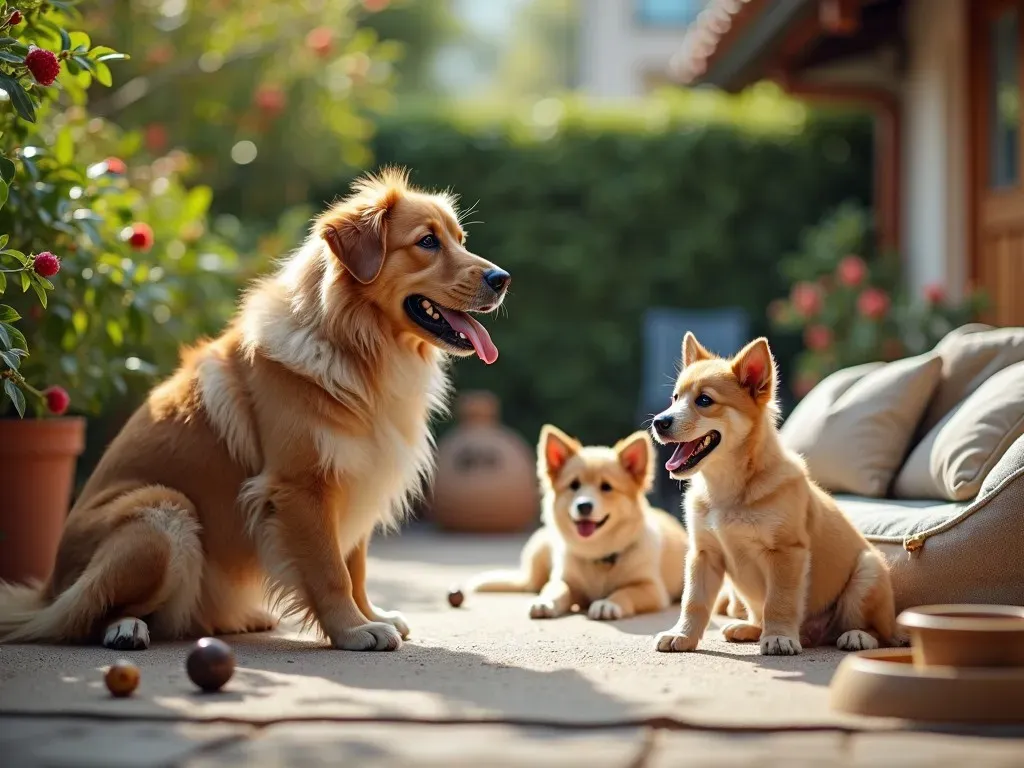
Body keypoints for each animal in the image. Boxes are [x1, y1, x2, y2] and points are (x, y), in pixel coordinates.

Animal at [464, 428, 688, 626]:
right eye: (574, 485)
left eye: (606, 487)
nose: (584, 506)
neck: (598, 556)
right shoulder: (566, 582)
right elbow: (556, 589)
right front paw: (545, 601)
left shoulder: (651, 589)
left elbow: (624, 592)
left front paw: (608, 603)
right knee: (532, 584)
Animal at [651, 333, 901, 659]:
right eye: (675, 398)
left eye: (704, 400)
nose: (659, 422)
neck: (728, 489)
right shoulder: (703, 554)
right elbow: (693, 601)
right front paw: (682, 635)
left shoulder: (786, 552)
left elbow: (779, 602)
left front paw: (779, 637)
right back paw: (748, 629)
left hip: (868, 574)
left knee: (879, 634)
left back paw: (857, 636)